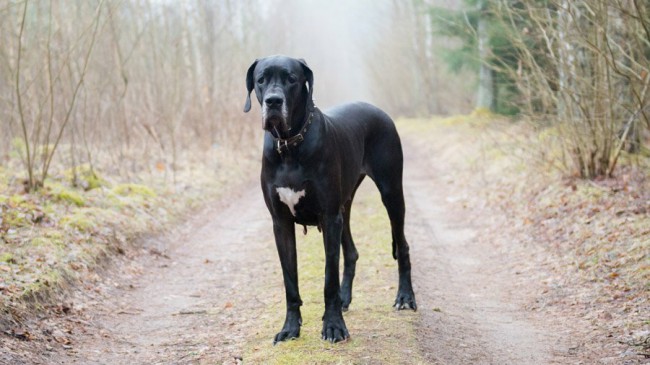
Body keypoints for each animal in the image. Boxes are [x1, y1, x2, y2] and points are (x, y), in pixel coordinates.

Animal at [243, 55, 416, 342]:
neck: (290, 146)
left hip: (390, 191)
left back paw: (405, 297)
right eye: (261, 80)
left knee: (402, 245)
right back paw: (345, 298)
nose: (273, 101)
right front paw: (290, 328)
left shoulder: (329, 217)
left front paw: (334, 326)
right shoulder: (281, 223)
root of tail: (377, 110)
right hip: (344, 206)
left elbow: (329, 279)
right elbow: (290, 282)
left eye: (292, 79)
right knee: (352, 252)